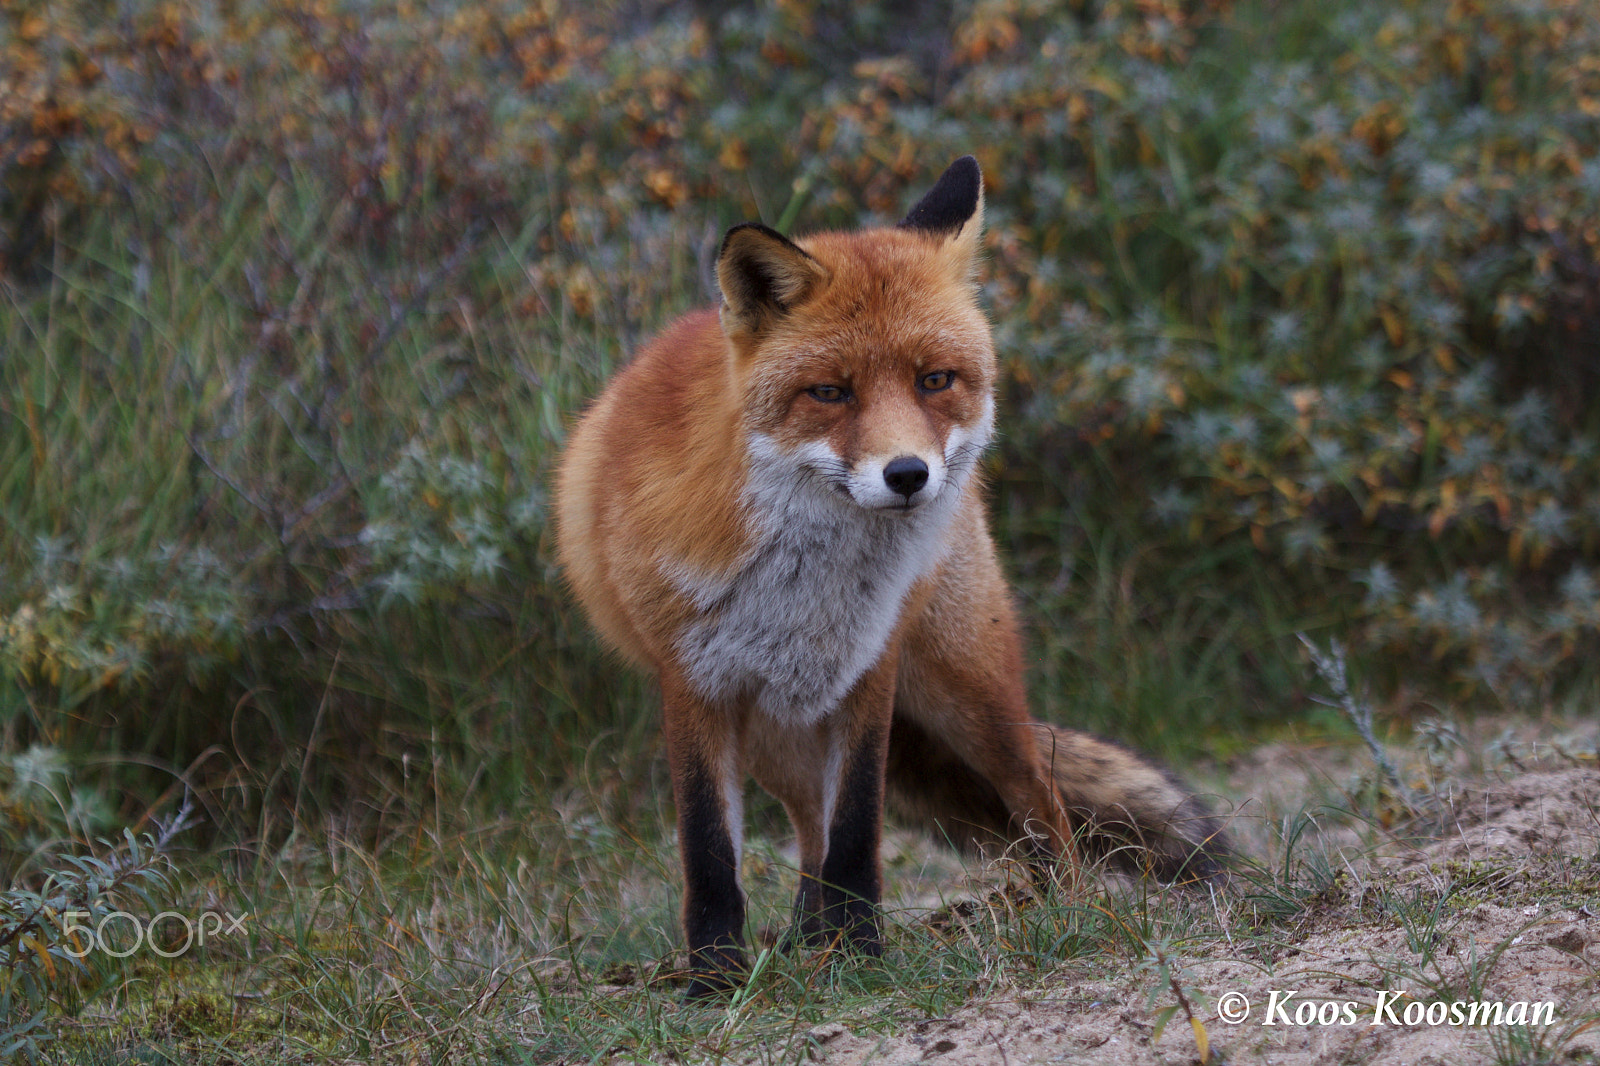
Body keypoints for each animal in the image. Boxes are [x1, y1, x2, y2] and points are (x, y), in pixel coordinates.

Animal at [554, 155, 1230, 998]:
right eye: (830, 392)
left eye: (934, 380)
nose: (908, 475)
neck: (806, 584)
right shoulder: (696, 686)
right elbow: (711, 852)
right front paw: (715, 979)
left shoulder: (869, 672)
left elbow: (856, 832)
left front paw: (861, 950)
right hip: (777, 732)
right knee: (807, 830)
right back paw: (803, 940)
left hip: (967, 693)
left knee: (1040, 799)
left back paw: (1071, 914)